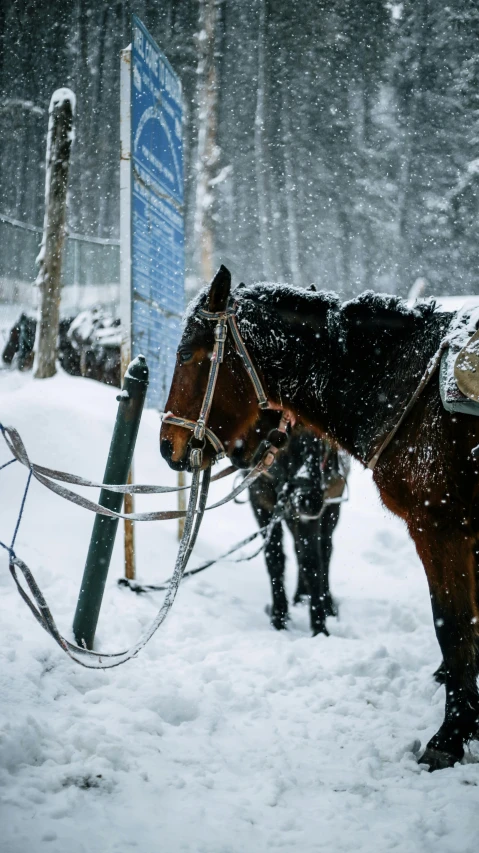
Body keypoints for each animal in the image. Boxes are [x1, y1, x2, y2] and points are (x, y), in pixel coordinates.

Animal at [232, 410, 344, 636]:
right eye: (288, 438)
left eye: (322, 435)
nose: (308, 500)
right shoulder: (261, 504)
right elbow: (275, 558)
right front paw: (278, 617)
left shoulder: (311, 514)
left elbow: (312, 562)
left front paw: (320, 627)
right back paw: (300, 596)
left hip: (330, 509)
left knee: (325, 549)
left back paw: (326, 603)